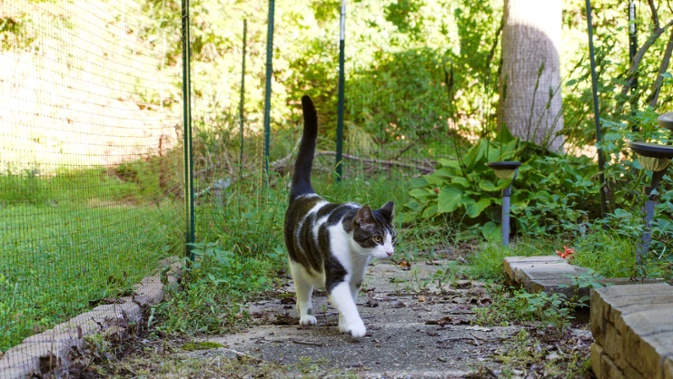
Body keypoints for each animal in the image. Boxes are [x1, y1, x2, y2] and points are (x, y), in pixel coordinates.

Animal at [282, 95, 396, 338]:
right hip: (297, 265)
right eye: (377, 238)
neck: (356, 255)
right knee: (303, 292)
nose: (390, 252)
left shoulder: (356, 278)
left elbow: (350, 301)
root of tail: (306, 194)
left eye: (393, 238)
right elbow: (346, 302)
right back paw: (305, 315)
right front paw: (356, 326)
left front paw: (344, 324)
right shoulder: (336, 276)